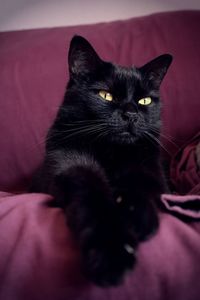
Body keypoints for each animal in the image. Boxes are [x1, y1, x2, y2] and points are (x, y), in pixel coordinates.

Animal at [30, 36, 173, 288]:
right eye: (106, 95)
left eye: (144, 100)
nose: (131, 114)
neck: (112, 152)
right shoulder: (69, 162)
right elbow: (91, 191)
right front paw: (111, 252)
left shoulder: (151, 169)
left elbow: (141, 186)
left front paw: (138, 216)